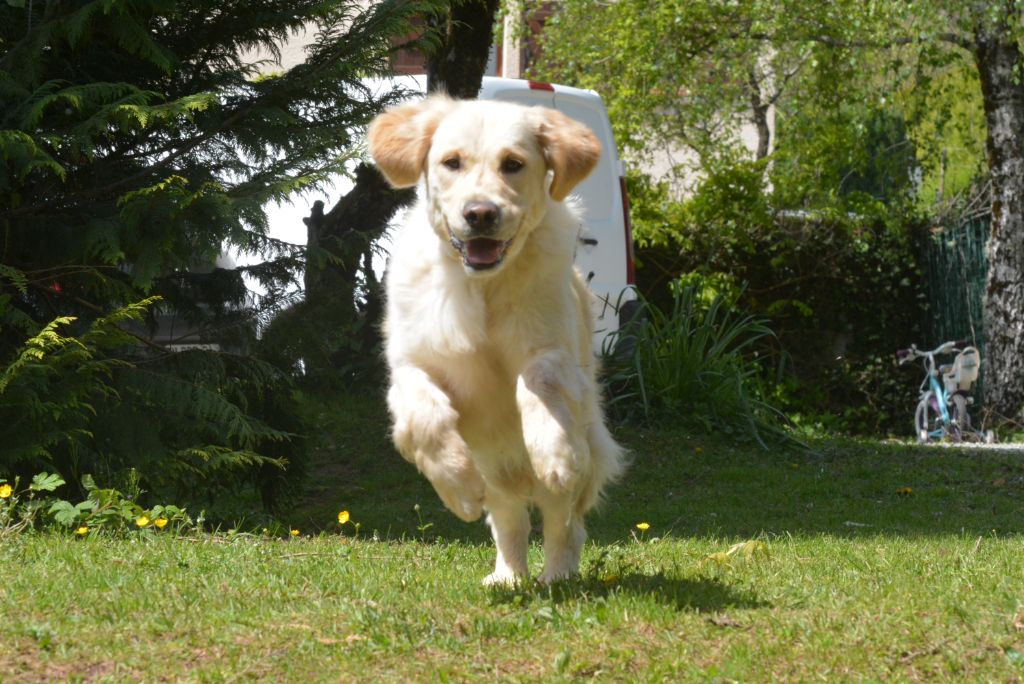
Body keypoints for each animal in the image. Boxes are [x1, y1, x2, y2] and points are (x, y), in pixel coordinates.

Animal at [368, 96, 622, 585]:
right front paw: (458, 486)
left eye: (513, 164)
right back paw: (507, 576)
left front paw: (553, 451)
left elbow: (535, 380)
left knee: (564, 524)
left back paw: (556, 574)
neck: (481, 285)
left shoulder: (555, 351)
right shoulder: (410, 364)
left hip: (575, 463)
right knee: (510, 521)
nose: (480, 213)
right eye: (452, 162)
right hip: (496, 474)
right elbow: (424, 413)